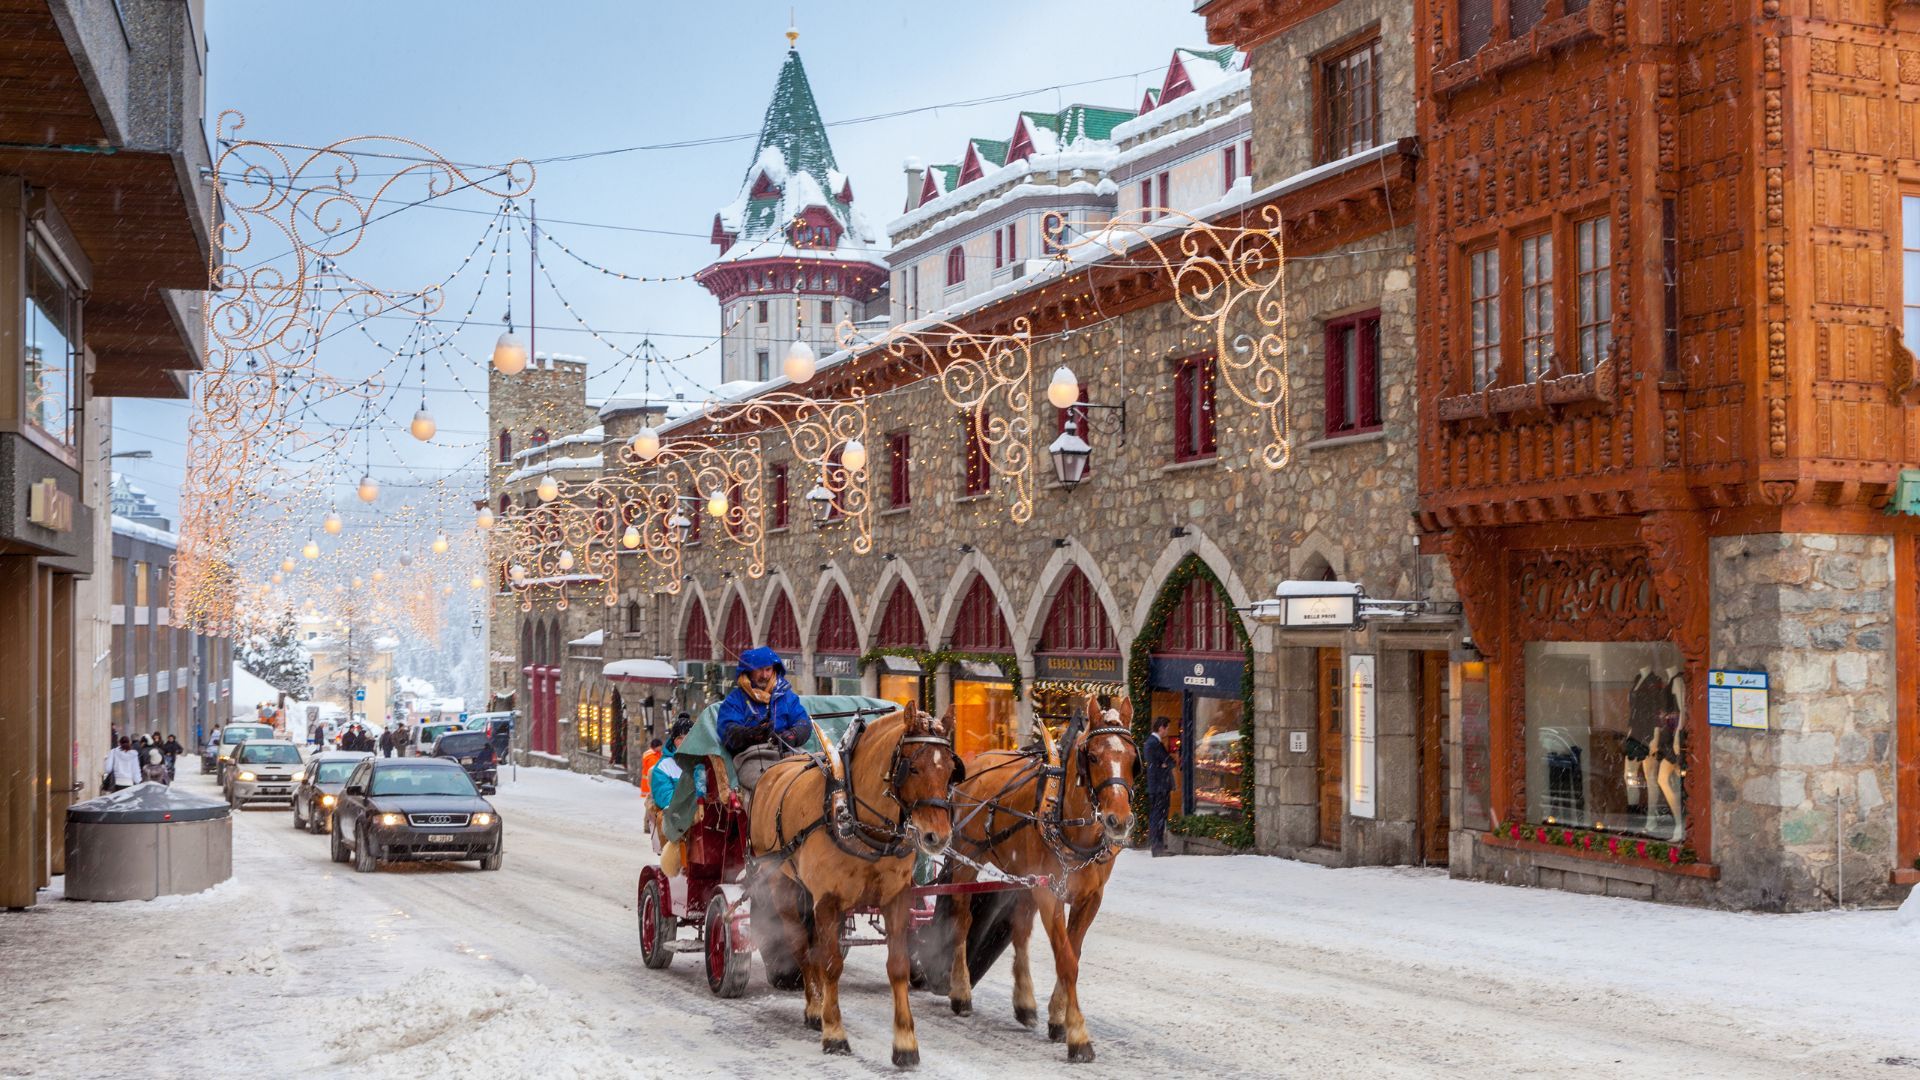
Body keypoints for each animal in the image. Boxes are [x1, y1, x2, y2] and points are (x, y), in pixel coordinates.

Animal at [748, 703, 960, 1060]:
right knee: (801, 946)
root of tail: (773, 769)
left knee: (814, 948)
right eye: (913, 769)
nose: (938, 836)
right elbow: (832, 964)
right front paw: (834, 1033)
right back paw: (814, 1009)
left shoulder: (896, 896)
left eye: (949, 770)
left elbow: (898, 965)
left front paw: (905, 1042)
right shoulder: (828, 899)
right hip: (781, 883)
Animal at [948, 691, 1136, 1053]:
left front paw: (1058, 1017)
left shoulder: (1089, 898)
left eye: (1133, 759)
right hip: (965, 858)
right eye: (1093, 756)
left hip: (1026, 878)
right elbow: (1066, 959)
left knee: (1020, 929)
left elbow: (1073, 954)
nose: (1118, 820)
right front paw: (1078, 1035)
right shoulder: (1050, 893)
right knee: (962, 920)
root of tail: (976, 761)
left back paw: (1024, 1002)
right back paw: (960, 992)